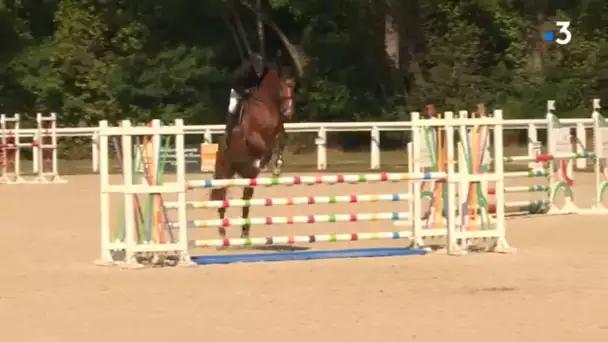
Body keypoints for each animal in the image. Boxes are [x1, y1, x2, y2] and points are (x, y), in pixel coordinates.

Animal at [210, 66, 296, 238]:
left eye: (293, 87)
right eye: (282, 87)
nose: (288, 112)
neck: (266, 105)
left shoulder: (278, 131)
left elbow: (283, 140)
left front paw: (277, 168)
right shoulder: (253, 136)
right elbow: (267, 149)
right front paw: (264, 164)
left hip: (248, 179)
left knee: (245, 202)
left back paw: (244, 232)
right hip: (224, 173)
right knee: (221, 197)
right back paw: (222, 231)